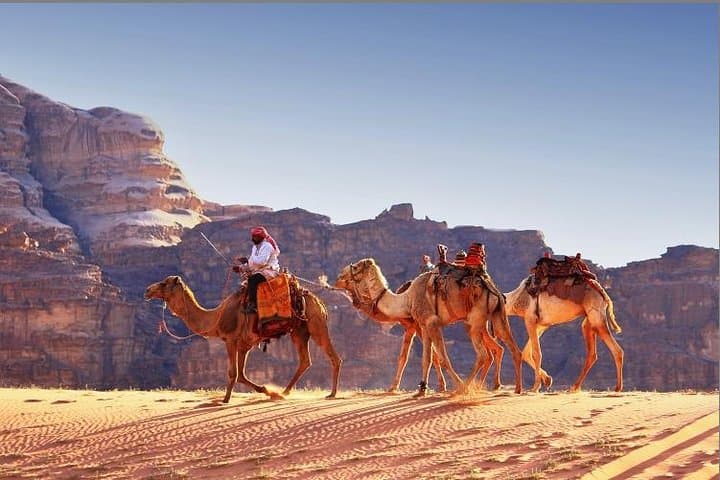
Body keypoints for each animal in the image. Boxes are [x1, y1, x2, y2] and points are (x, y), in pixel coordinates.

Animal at [144, 275, 342, 403]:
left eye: (164, 283)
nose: (147, 290)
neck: (216, 317)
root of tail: (319, 303)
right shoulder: (245, 344)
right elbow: (241, 374)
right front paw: (266, 390)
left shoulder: (230, 340)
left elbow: (233, 372)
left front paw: (225, 399)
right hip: (299, 331)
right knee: (305, 360)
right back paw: (284, 392)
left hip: (316, 324)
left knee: (334, 357)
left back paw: (332, 394)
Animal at [335, 259, 524, 396]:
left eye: (356, 267)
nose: (338, 277)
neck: (406, 299)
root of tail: (492, 288)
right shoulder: (423, 326)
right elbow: (427, 358)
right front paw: (421, 389)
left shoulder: (432, 322)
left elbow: (443, 358)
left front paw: (453, 386)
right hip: (496, 316)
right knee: (511, 348)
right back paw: (516, 389)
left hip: (475, 320)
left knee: (484, 355)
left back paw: (466, 387)